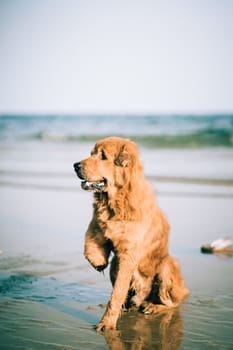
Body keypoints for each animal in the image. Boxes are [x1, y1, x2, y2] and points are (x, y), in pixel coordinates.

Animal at [73, 136, 189, 330]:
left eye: (102, 156)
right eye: (91, 153)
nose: (75, 165)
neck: (116, 201)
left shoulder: (128, 255)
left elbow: (117, 293)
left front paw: (106, 323)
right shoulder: (96, 226)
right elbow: (89, 242)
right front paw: (98, 260)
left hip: (167, 265)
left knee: (172, 303)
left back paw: (151, 307)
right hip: (116, 265)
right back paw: (130, 305)